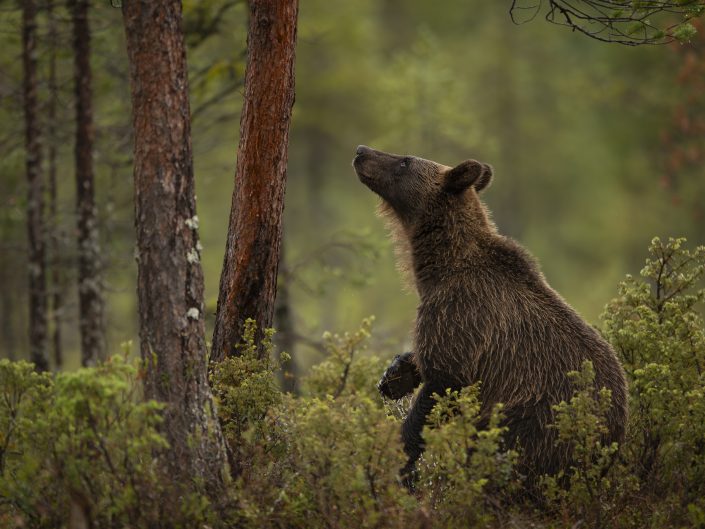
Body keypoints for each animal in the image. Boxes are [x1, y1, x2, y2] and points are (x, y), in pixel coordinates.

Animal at [352, 144, 628, 487]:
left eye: (405, 161)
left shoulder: (463, 310)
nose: (361, 151)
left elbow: (444, 380)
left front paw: (401, 459)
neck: (440, 263)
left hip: (537, 418)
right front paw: (394, 376)